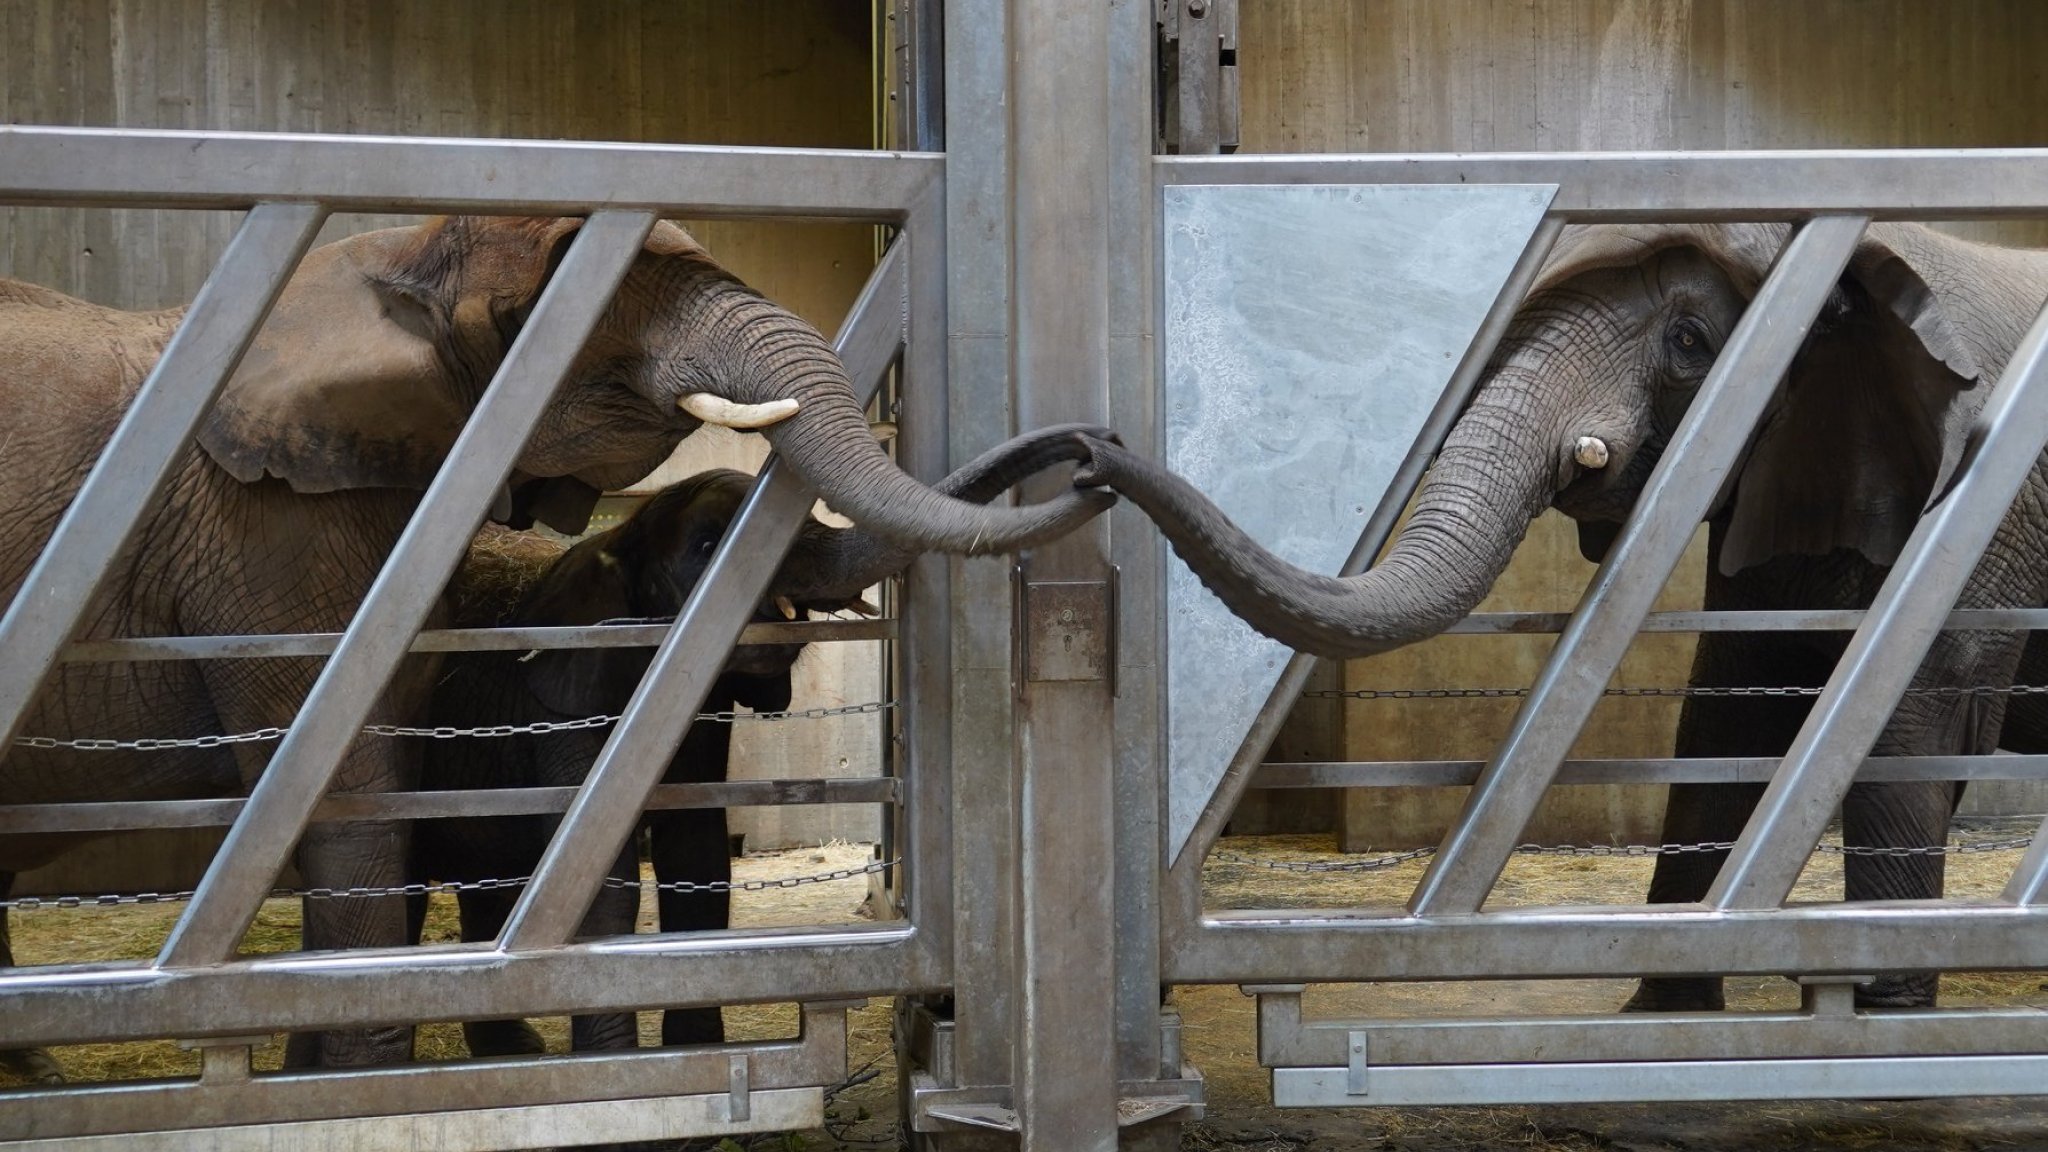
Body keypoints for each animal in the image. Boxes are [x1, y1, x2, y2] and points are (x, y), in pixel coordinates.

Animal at [0, 213, 1114, 1065]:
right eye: (581, 327)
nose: (1093, 455)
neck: (389, 257)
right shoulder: (265, 525)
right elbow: (344, 787)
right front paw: (348, 1084)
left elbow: (696, 849)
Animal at [1064, 217, 2048, 1004]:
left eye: (1691, 338)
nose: (1084, 453)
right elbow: (1725, 717)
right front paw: (1663, 1025)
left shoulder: (1972, 520)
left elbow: (1908, 727)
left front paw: (1881, 1017)